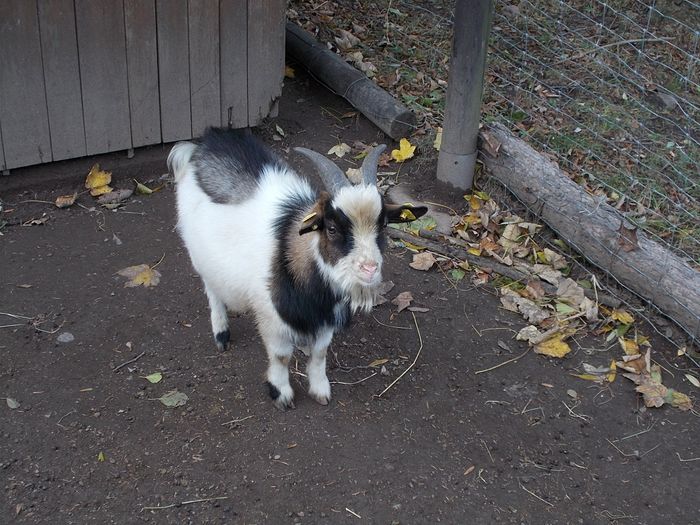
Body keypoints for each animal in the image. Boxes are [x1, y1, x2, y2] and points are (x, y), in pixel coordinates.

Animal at [170, 127, 426, 410]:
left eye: (383, 226)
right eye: (331, 228)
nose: (369, 268)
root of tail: (203, 144)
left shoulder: (325, 319)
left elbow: (320, 353)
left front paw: (320, 389)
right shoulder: (272, 317)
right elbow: (281, 356)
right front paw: (280, 393)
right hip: (199, 254)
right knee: (211, 289)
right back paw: (221, 333)